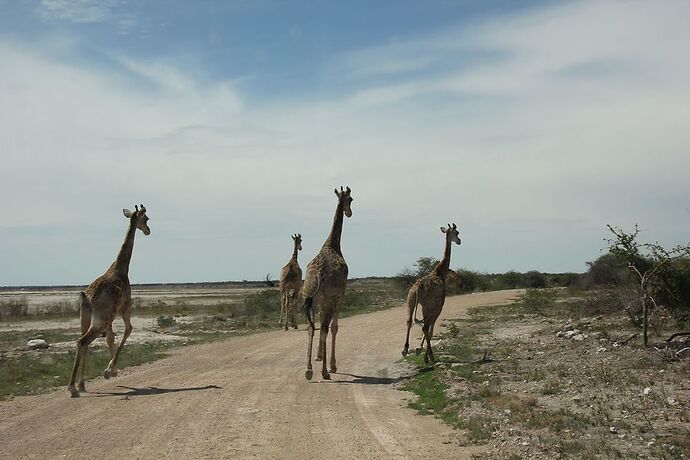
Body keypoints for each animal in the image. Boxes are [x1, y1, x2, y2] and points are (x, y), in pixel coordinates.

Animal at [67, 203, 150, 398]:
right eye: (146, 218)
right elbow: (128, 330)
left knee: (82, 344)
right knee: (82, 342)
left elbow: (110, 338)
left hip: (86, 318)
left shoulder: (111, 318)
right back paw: (72, 388)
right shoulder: (125, 308)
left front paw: (112, 370)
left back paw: (81, 385)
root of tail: (87, 298)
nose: (148, 230)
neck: (122, 267)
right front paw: (110, 370)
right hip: (100, 319)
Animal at [300, 185, 352, 380]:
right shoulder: (339, 296)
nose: (350, 212)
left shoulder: (321, 299)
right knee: (323, 328)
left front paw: (319, 356)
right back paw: (324, 372)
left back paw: (308, 370)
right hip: (327, 298)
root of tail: (320, 274)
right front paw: (332, 365)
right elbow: (335, 327)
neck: (332, 244)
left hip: (310, 296)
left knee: (311, 327)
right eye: (351, 199)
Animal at [400, 225, 460, 364]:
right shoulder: (437, 306)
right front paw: (424, 353)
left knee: (409, 321)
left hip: (410, 301)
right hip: (427, 305)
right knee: (425, 327)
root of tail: (418, 287)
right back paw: (430, 356)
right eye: (457, 233)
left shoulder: (426, 307)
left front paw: (419, 349)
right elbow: (430, 330)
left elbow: (426, 328)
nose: (459, 241)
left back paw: (405, 349)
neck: (440, 273)